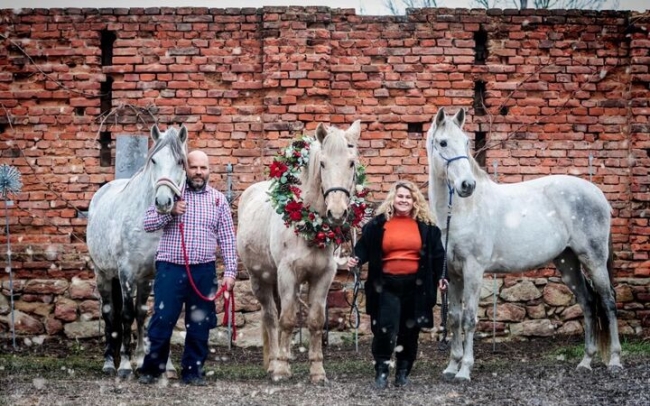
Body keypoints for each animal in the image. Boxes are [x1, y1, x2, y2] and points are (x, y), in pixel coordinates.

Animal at [86, 125, 187, 380]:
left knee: (139, 314)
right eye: (154, 160)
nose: (163, 202)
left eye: (181, 161)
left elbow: (154, 314)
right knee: (109, 313)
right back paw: (110, 362)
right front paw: (124, 366)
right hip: (103, 274)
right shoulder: (126, 274)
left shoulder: (154, 275)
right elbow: (126, 315)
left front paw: (159, 364)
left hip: (140, 279)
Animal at [426, 108, 624, 380]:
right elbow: (455, 318)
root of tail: (598, 194)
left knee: (608, 301)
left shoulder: (473, 269)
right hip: (568, 262)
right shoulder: (454, 273)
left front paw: (465, 370)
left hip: (593, 259)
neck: (462, 211)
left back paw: (614, 360)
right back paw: (586, 361)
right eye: (443, 143)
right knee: (588, 302)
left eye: (466, 142)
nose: (467, 185)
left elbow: (469, 318)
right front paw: (451, 366)